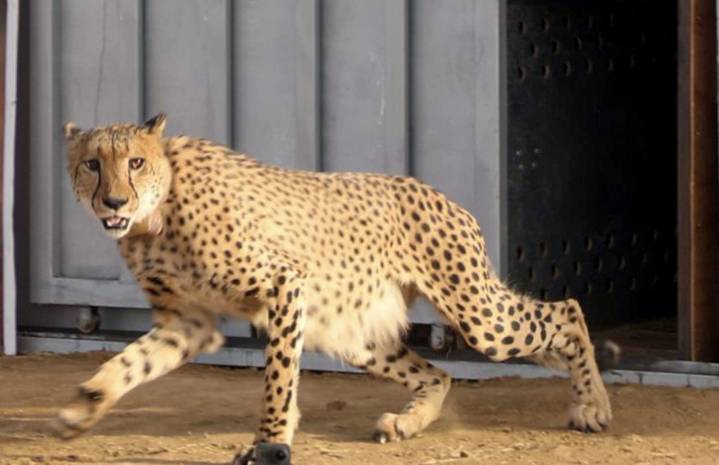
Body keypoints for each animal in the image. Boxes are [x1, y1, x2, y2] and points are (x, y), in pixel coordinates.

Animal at [55, 114, 618, 465]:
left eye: (135, 162)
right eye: (91, 164)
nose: (112, 201)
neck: (157, 214)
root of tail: (440, 193)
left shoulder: (284, 284)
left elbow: (279, 379)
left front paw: (270, 443)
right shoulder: (188, 325)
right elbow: (131, 363)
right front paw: (84, 406)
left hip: (480, 317)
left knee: (566, 312)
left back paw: (592, 405)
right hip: (353, 333)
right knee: (438, 374)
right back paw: (407, 423)